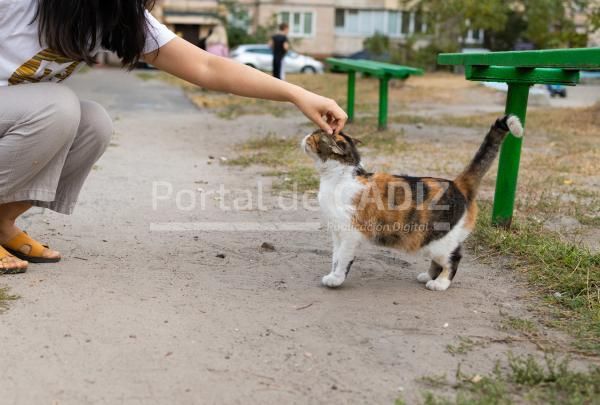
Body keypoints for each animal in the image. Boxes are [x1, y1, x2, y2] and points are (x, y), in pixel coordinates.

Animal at [302, 115, 524, 288]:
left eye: (314, 135)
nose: (305, 136)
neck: (339, 177)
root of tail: (457, 184)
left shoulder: (351, 233)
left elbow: (343, 259)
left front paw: (337, 279)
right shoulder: (337, 232)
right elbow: (335, 257)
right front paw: (332, 274)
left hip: (441, 241)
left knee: (454, 258)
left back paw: (439, 283)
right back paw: (427, 276)